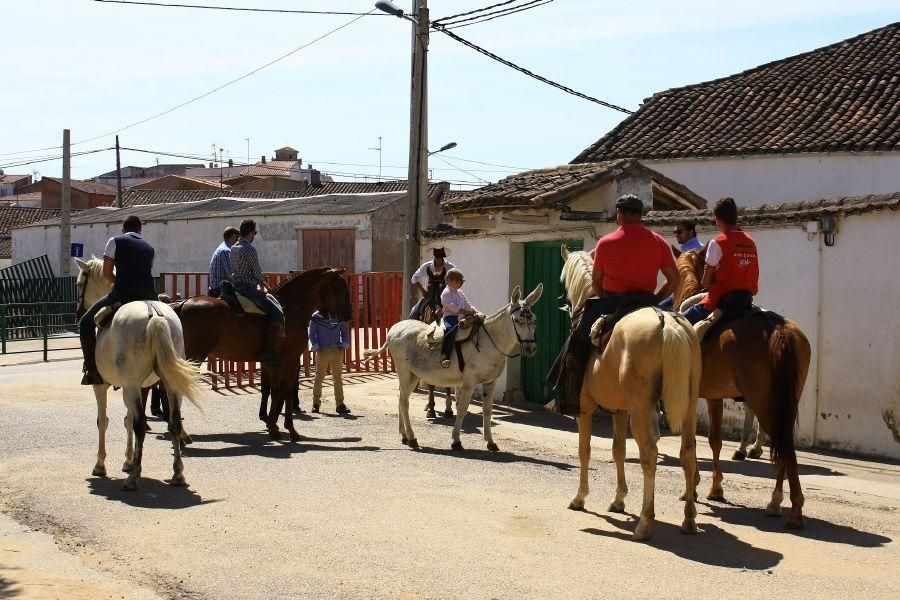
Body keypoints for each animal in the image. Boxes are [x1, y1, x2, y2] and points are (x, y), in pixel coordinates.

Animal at [74, 258, 203, 492]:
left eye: (80, 283)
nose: (78, 313)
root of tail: (154, 315)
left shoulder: (102, 386)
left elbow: (103, 421)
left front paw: (101, 465)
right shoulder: (140, 387)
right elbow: (127, 420)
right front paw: (129, 460)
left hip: (130, 386)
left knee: (141, 425)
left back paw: (133, 479)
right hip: (168, 385)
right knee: (174, 422)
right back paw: (177, 474)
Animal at [174, 268, 354, 440]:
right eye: (340, 287)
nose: (349, 314)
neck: (290, 309)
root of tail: (182, 304)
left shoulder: (272, 363)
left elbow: (273, 391)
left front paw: (272, 425)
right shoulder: (290, 360)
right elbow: (286, 391)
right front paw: (290, 429)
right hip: (194, 357)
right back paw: (181, 433)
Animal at [364, 284, 544, 450]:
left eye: (534, 319)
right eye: (518, 320)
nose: (531, 348)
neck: (488, 341)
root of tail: (394, 330)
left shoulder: (490, 382)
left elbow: (487, 410)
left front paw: (491, 442)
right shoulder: (469, 382)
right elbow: (462, 408)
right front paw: (456, 440)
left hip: (413, 374)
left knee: (402, 398)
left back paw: (404, 435)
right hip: (404, 372)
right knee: (404, 402)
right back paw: (412, 438)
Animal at [556, 246, 704, 540]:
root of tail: (668, 325)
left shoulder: (586, 408)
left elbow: (585, 450)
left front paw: (580, 497)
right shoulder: (620, 410)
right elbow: (618, 451)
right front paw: (619, 500)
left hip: (642, 409)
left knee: (649, 454)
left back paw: (645, 523)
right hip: (689, 405)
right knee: (688, 454)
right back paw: (689, 519)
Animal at [672, 246, 812, 528]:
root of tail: (777, 328)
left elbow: (696, 443)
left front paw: (693, 488)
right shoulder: (714, 397)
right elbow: (714, 440)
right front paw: (715, 488)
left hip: (764, 401)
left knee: (782, 444)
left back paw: (790, 508)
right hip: (784, 401)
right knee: (784, 444)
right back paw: (778, 502)